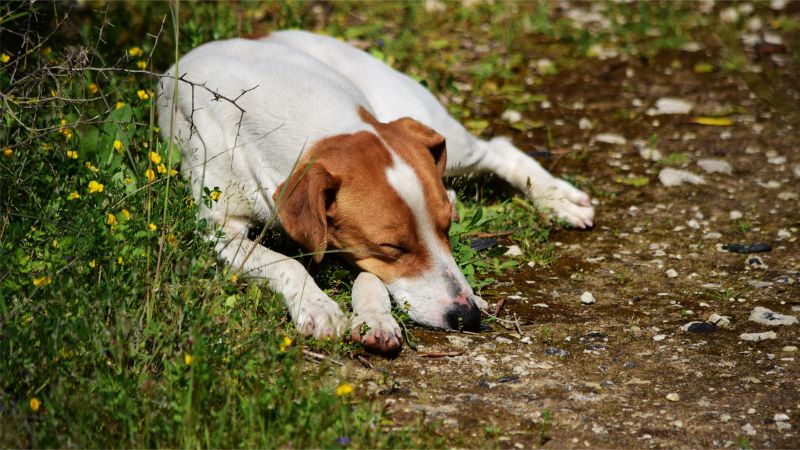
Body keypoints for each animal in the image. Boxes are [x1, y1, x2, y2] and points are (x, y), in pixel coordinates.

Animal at [158, 30, 592, 356]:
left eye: (447, 229)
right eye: (393, 247)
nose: (467, 317)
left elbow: (370, 279)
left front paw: (374, 317)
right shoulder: (217, 229)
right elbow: (285, 263)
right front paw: (318, 306)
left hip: (443, 139)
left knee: (498, 148)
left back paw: (559, 199)